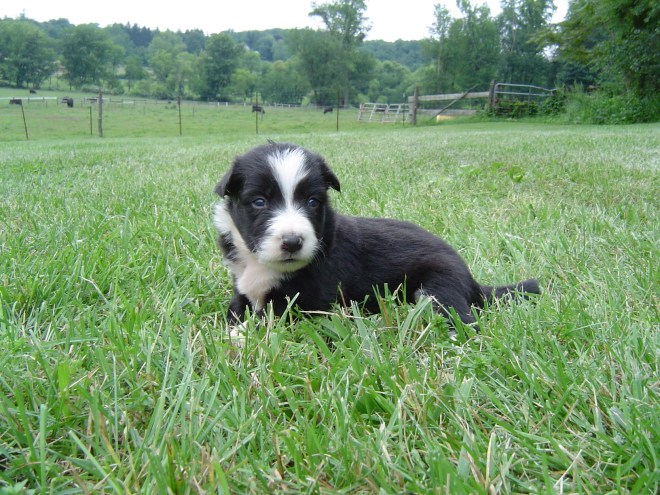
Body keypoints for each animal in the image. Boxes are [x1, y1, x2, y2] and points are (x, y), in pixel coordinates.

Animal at [213, 142, 540, 330]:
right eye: (259, 201)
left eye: (313, 202)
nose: (293, 242)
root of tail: (471, 278)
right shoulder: (242, 287)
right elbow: (236, 308)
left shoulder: (309, 301)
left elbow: (271, 317)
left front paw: (241, 337)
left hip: (438, 289)